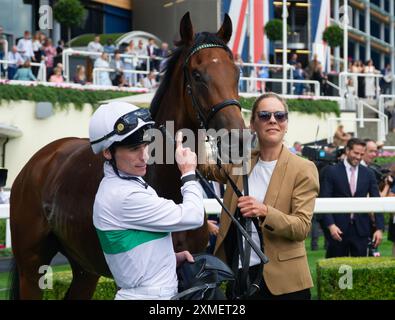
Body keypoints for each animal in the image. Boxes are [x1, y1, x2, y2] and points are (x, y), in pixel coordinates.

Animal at [8, 11, 244, 298]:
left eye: (236, 73)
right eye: (197, 75)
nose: (239, 138)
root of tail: (37, 162)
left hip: (86, 268)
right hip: (32, 267)